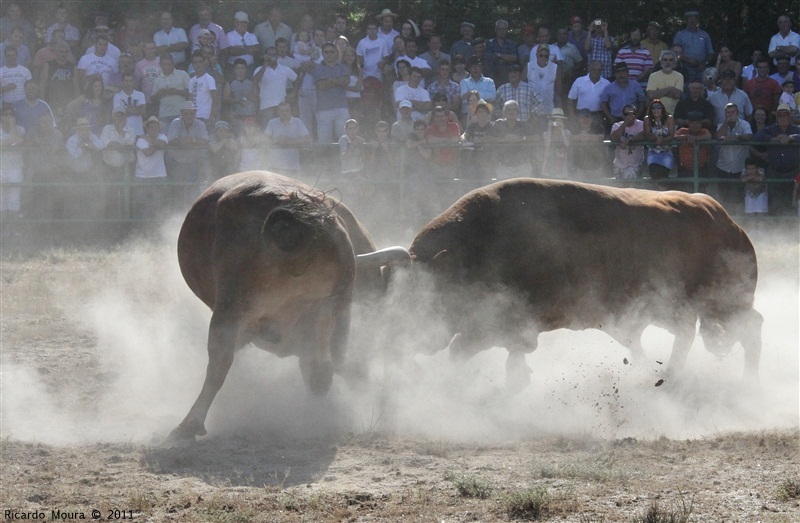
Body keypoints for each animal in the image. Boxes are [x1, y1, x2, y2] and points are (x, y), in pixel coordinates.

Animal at [410, 178, 760, 390]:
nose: (420, 340)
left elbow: (466, 349)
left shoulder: (501, 324)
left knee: (750, 327)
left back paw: (746, 381)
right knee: (689, 336)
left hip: (722, 304)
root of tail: (729, 223)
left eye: (430, 296)